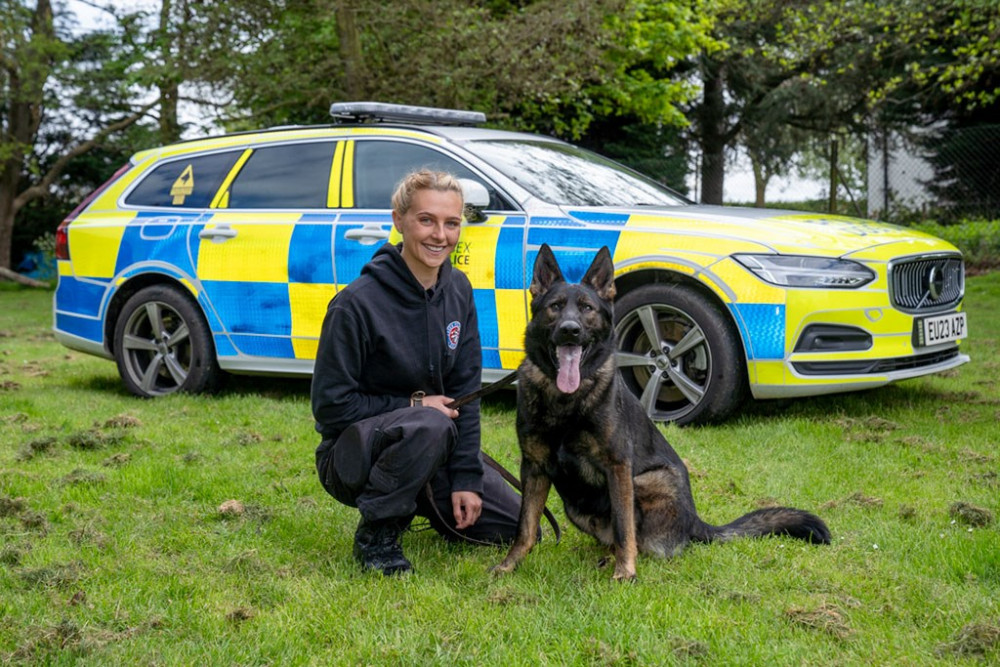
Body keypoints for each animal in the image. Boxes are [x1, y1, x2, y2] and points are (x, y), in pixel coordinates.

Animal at [490, 244, 828, 580]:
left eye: (587, 308)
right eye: (556, 307)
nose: (570, 331)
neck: (565, 399)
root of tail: (696, 523)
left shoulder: (618, 466)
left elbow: (624, 527)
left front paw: (625, 572)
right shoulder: (534, 467)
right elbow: (526, 526)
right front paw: (509, 565)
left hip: (647, 481)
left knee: (642, 539)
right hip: (577, 505)